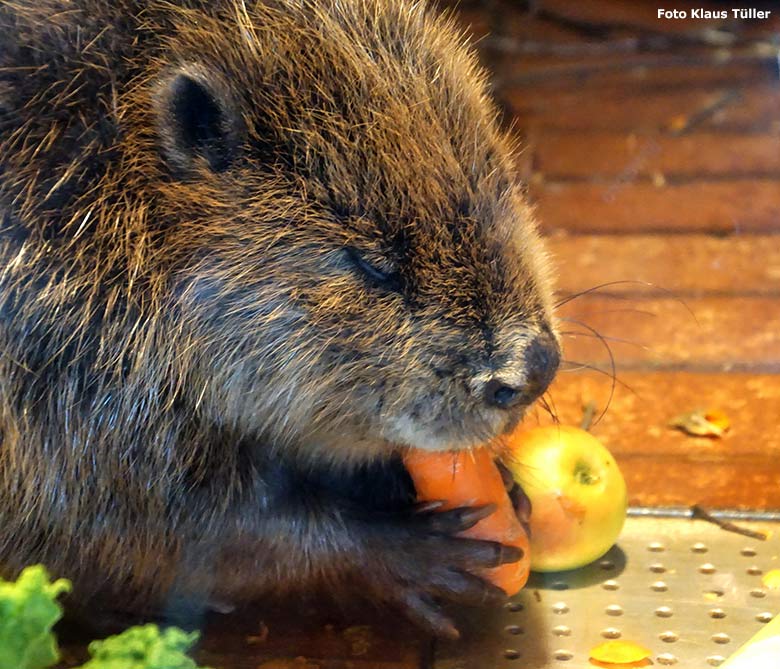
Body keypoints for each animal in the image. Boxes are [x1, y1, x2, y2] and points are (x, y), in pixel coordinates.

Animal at [0, 0, 560, 636]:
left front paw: (505, 491)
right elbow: (156, 522)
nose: (532, 369)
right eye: (374, 262)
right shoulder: (67, 372)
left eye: (502, 181)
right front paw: (430, 554)